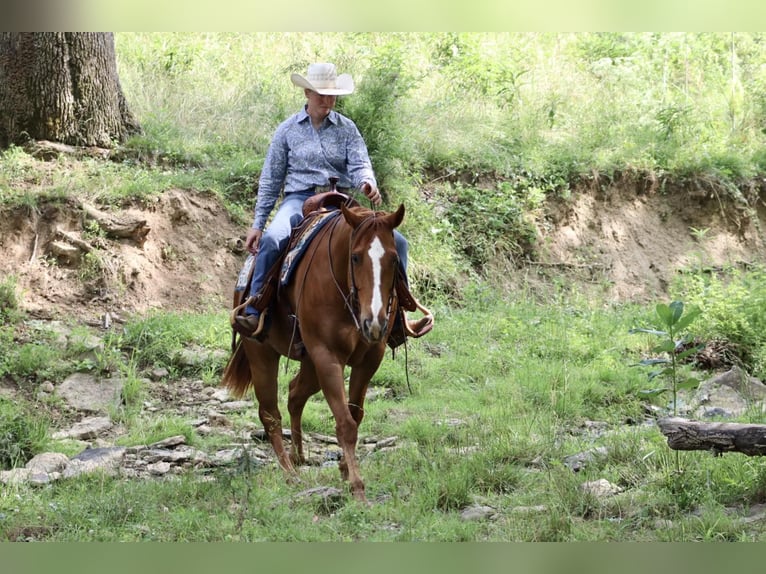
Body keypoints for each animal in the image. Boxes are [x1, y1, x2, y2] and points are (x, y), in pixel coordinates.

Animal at [220, 202, 408, 504]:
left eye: (393, 259)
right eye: (355, 257)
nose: (374, 322)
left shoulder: (369, 359)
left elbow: (355, 416)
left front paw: (345, 469)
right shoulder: (326, 356)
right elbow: (345, 423)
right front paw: (357, 486)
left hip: (309, 365)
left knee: (295, 394)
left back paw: (298, 457)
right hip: (261, 353)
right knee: (269, 414)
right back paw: (289, 473)